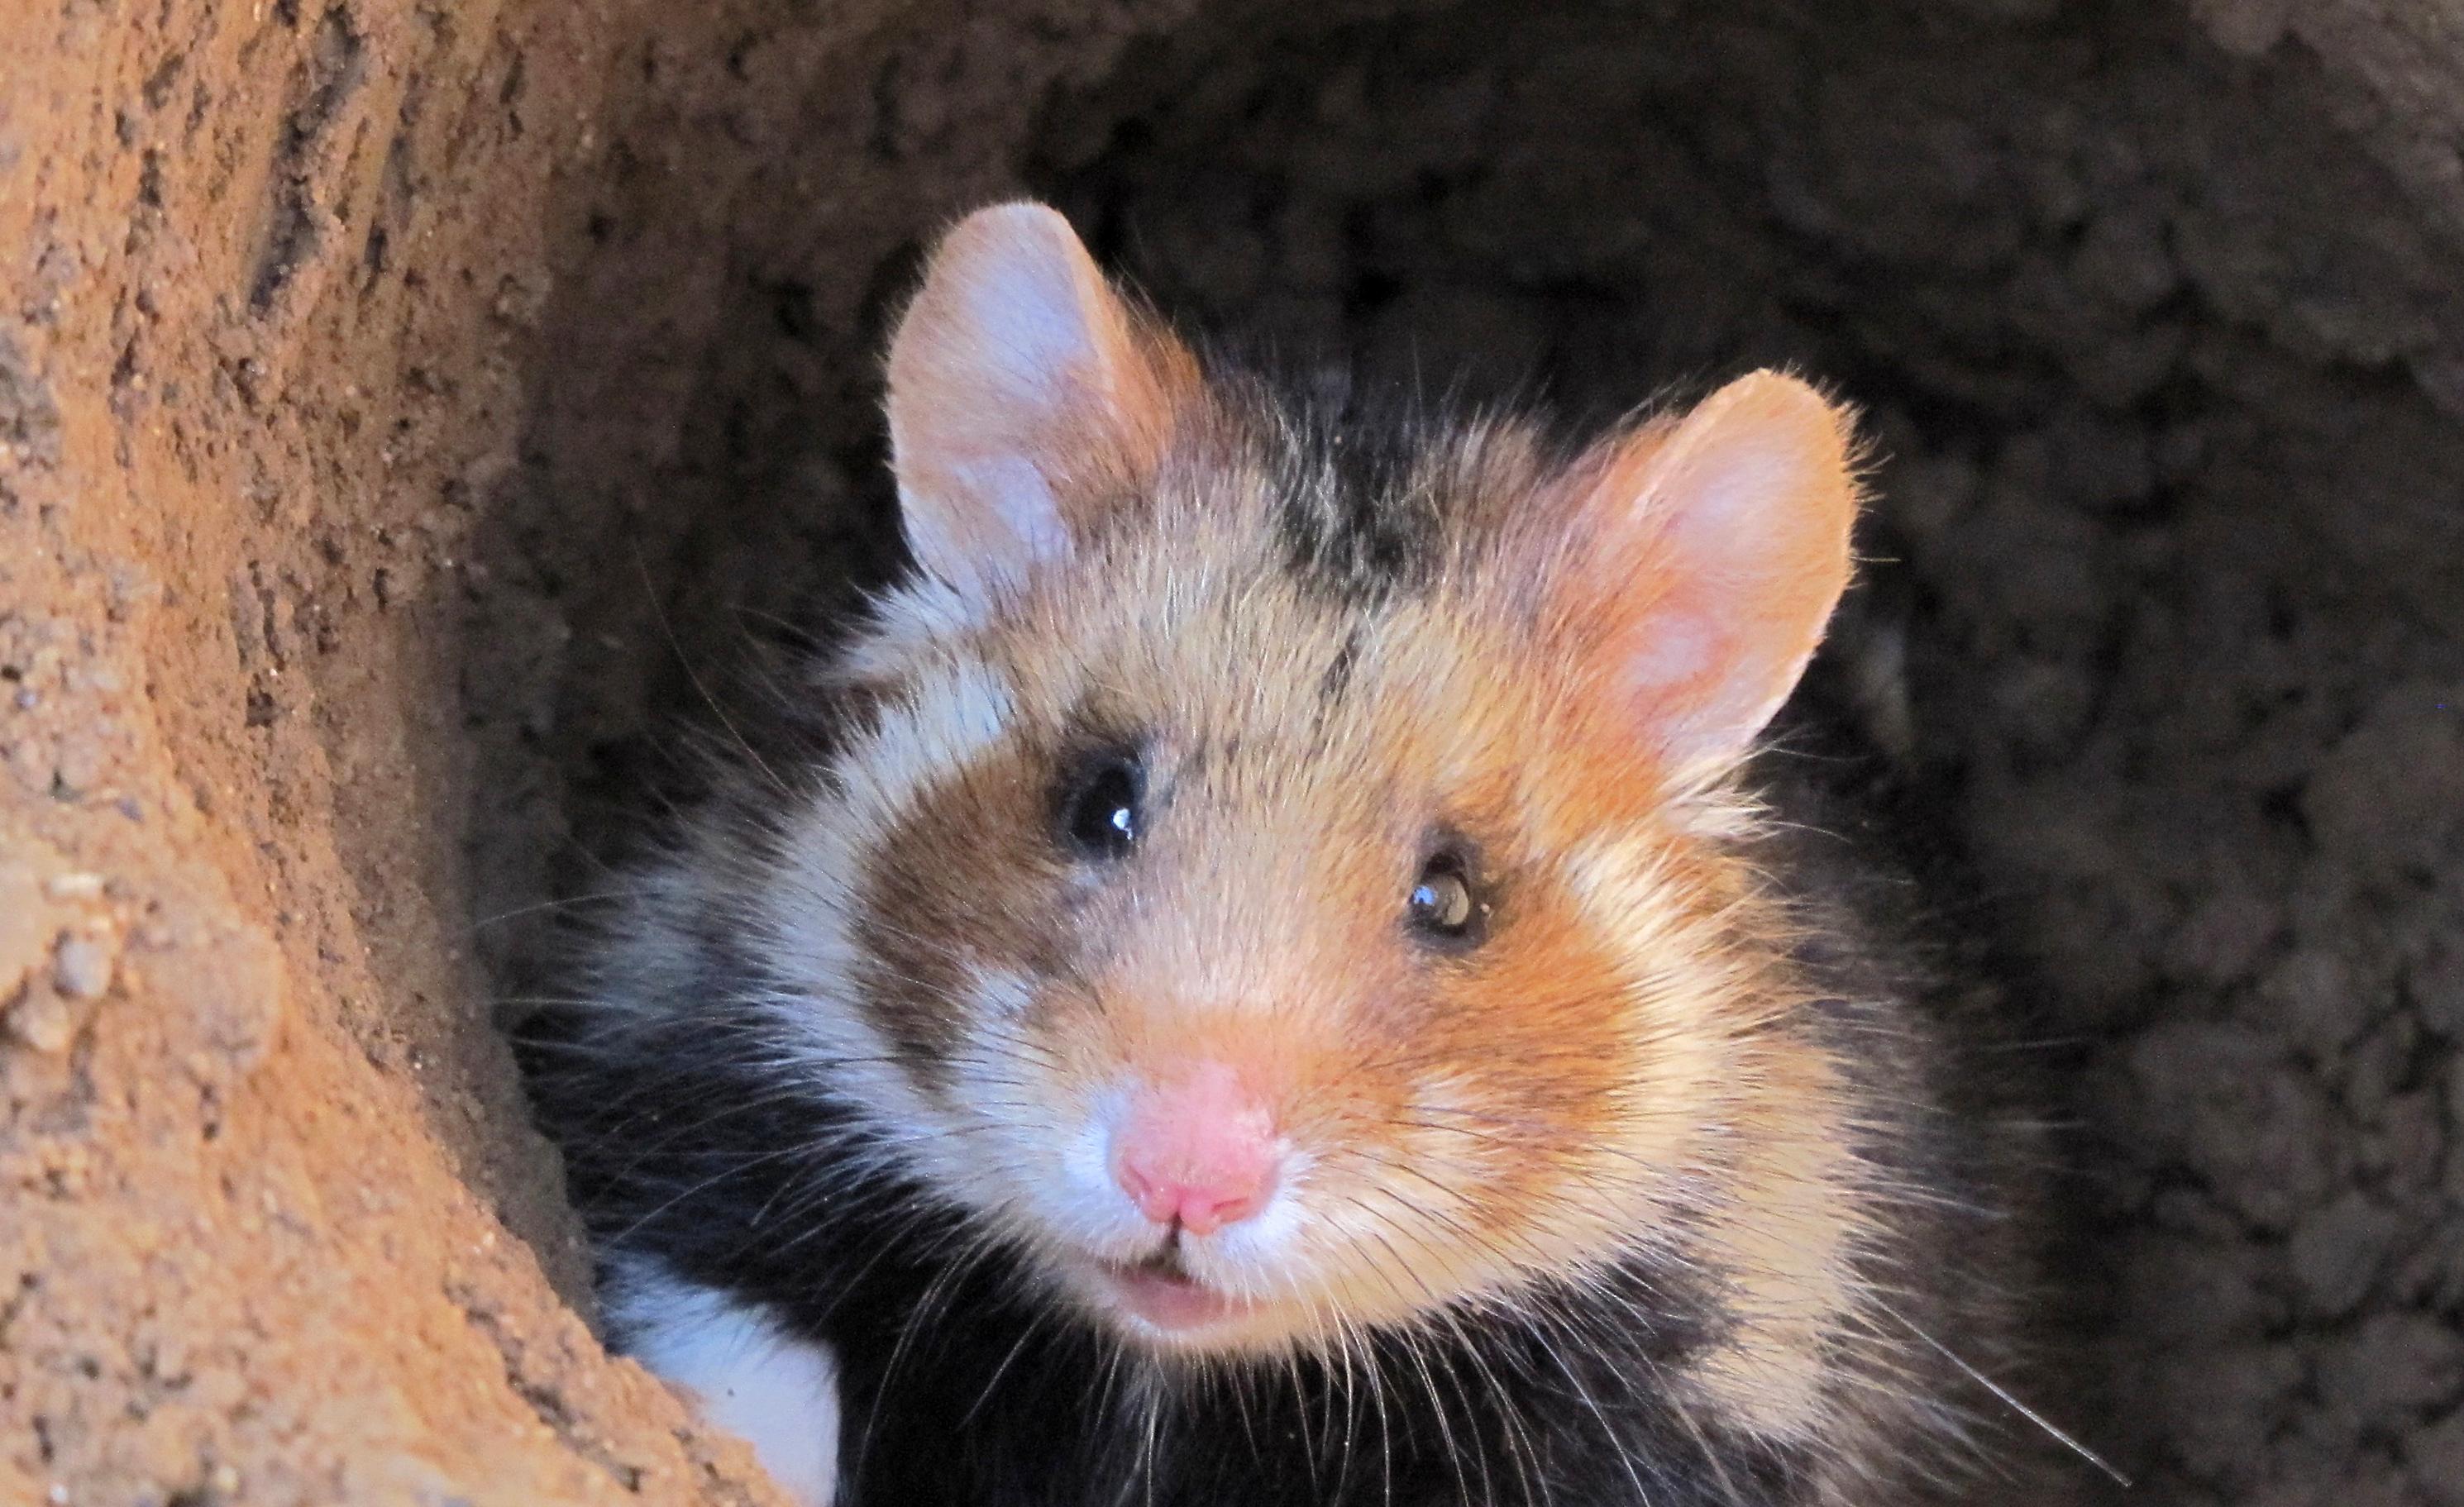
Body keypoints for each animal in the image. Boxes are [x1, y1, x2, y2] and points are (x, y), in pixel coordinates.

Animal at [534, 203, 2060, 1507]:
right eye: (1097, 801)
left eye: (1454, 896)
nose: (1183, 1184)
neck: (1164, 1364)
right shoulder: (703, 1130)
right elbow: (747, 1370)